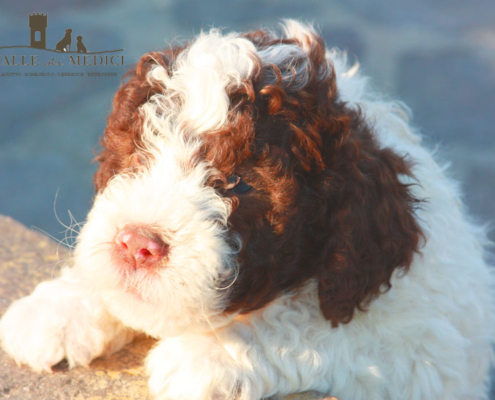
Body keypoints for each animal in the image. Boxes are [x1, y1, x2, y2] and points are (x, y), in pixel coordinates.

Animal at [0, 21, 495, 400]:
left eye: (240, 182)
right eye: (139, 153)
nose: (137, 244)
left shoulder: (429, 351)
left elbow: (312, 325)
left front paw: (209, 354)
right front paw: (60, 309)